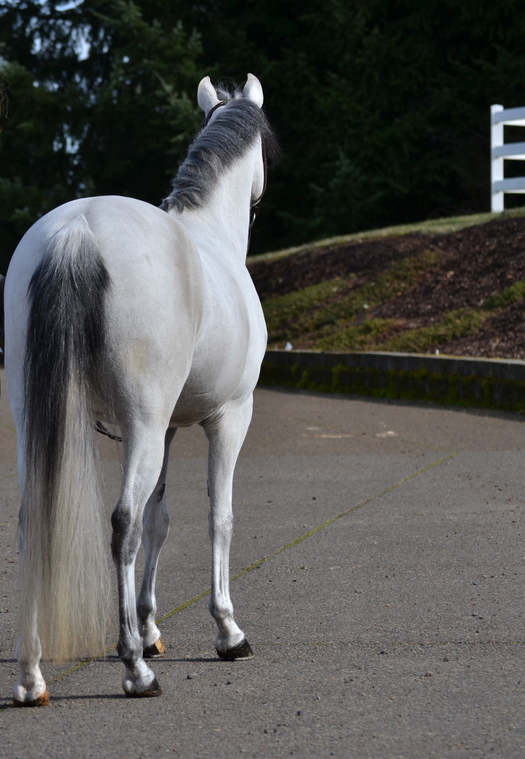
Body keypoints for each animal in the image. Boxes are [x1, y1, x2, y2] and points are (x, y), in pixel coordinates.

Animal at [4, 73, 279, 706]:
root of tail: (78, 229)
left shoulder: (171, 429)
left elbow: (162, 517)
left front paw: (153, 627)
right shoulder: (228, 418)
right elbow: (216, 515)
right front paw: (227, 631)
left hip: (46, 421)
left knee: (34, 521)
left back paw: (32, 677)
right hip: (144, 426)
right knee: (122, 524)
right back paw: (134, 669)